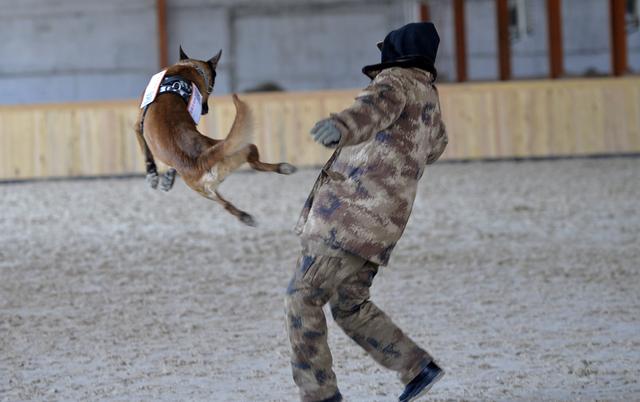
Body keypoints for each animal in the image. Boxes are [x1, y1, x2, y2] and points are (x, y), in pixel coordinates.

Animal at [136, 47, 296, 226]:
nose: (205, 110)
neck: (187, 68)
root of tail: (201, 160)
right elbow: (157, 159)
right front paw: (162, 179)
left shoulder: (138, 126)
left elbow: (148, 154)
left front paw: (156, 177)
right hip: (227, 165)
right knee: (234, 192)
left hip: (207, 183)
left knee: (235, 190)